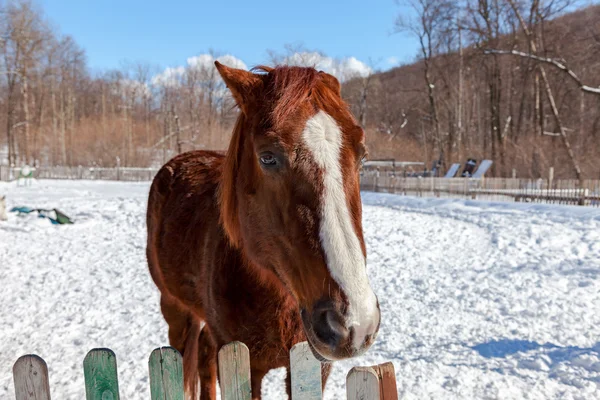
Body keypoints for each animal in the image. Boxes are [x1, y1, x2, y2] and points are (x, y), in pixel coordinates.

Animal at [146, 61, 380, 398]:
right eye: (267, 157)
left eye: (362, 154)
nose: (355, 323)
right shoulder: (245, 364)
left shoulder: (314, 367)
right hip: (175, 310)